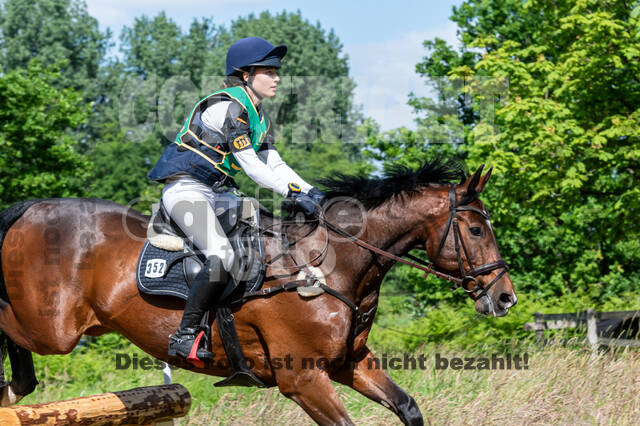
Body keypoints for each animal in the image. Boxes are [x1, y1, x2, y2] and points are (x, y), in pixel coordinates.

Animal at [0, 160, 516, 425]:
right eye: (475, 229)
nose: (505, 297)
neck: (329, 265)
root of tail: (32, 209)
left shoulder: (350, 364)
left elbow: (408, 407)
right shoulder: (303, 379)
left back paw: (15, 389)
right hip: (53, 329)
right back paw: (13, 388)